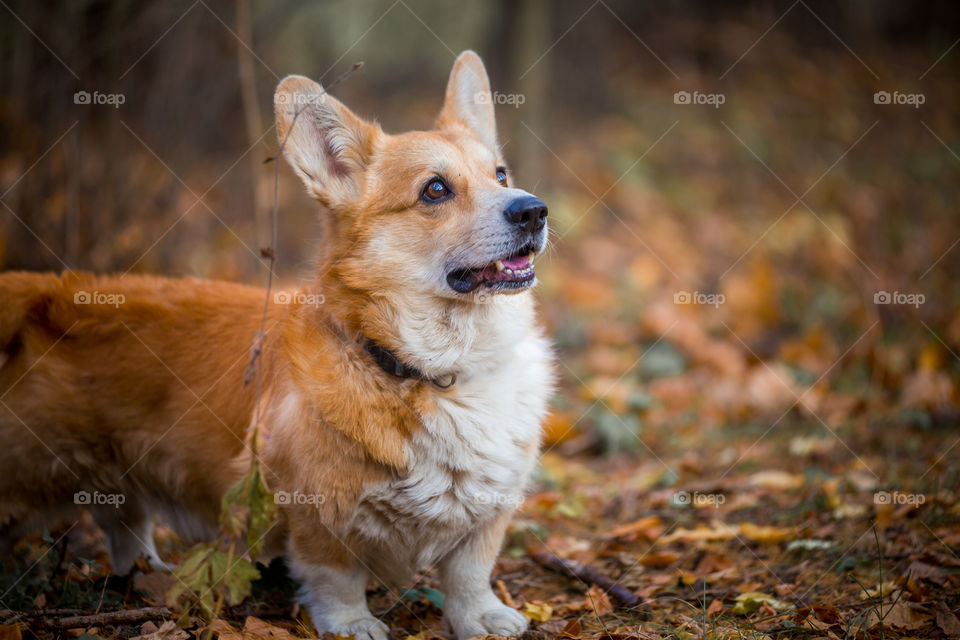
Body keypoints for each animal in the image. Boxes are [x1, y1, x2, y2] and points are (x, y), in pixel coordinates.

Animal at [0, 51, 552, 640]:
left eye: (501, 175)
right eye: (435, 190)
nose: (533, 210)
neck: (435, 369)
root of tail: (53, 291)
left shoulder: (488, 511)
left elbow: (471, 569)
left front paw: (481, 616)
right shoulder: (314, 511)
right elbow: (335, 576)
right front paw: (352, 623)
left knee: (125, 528)